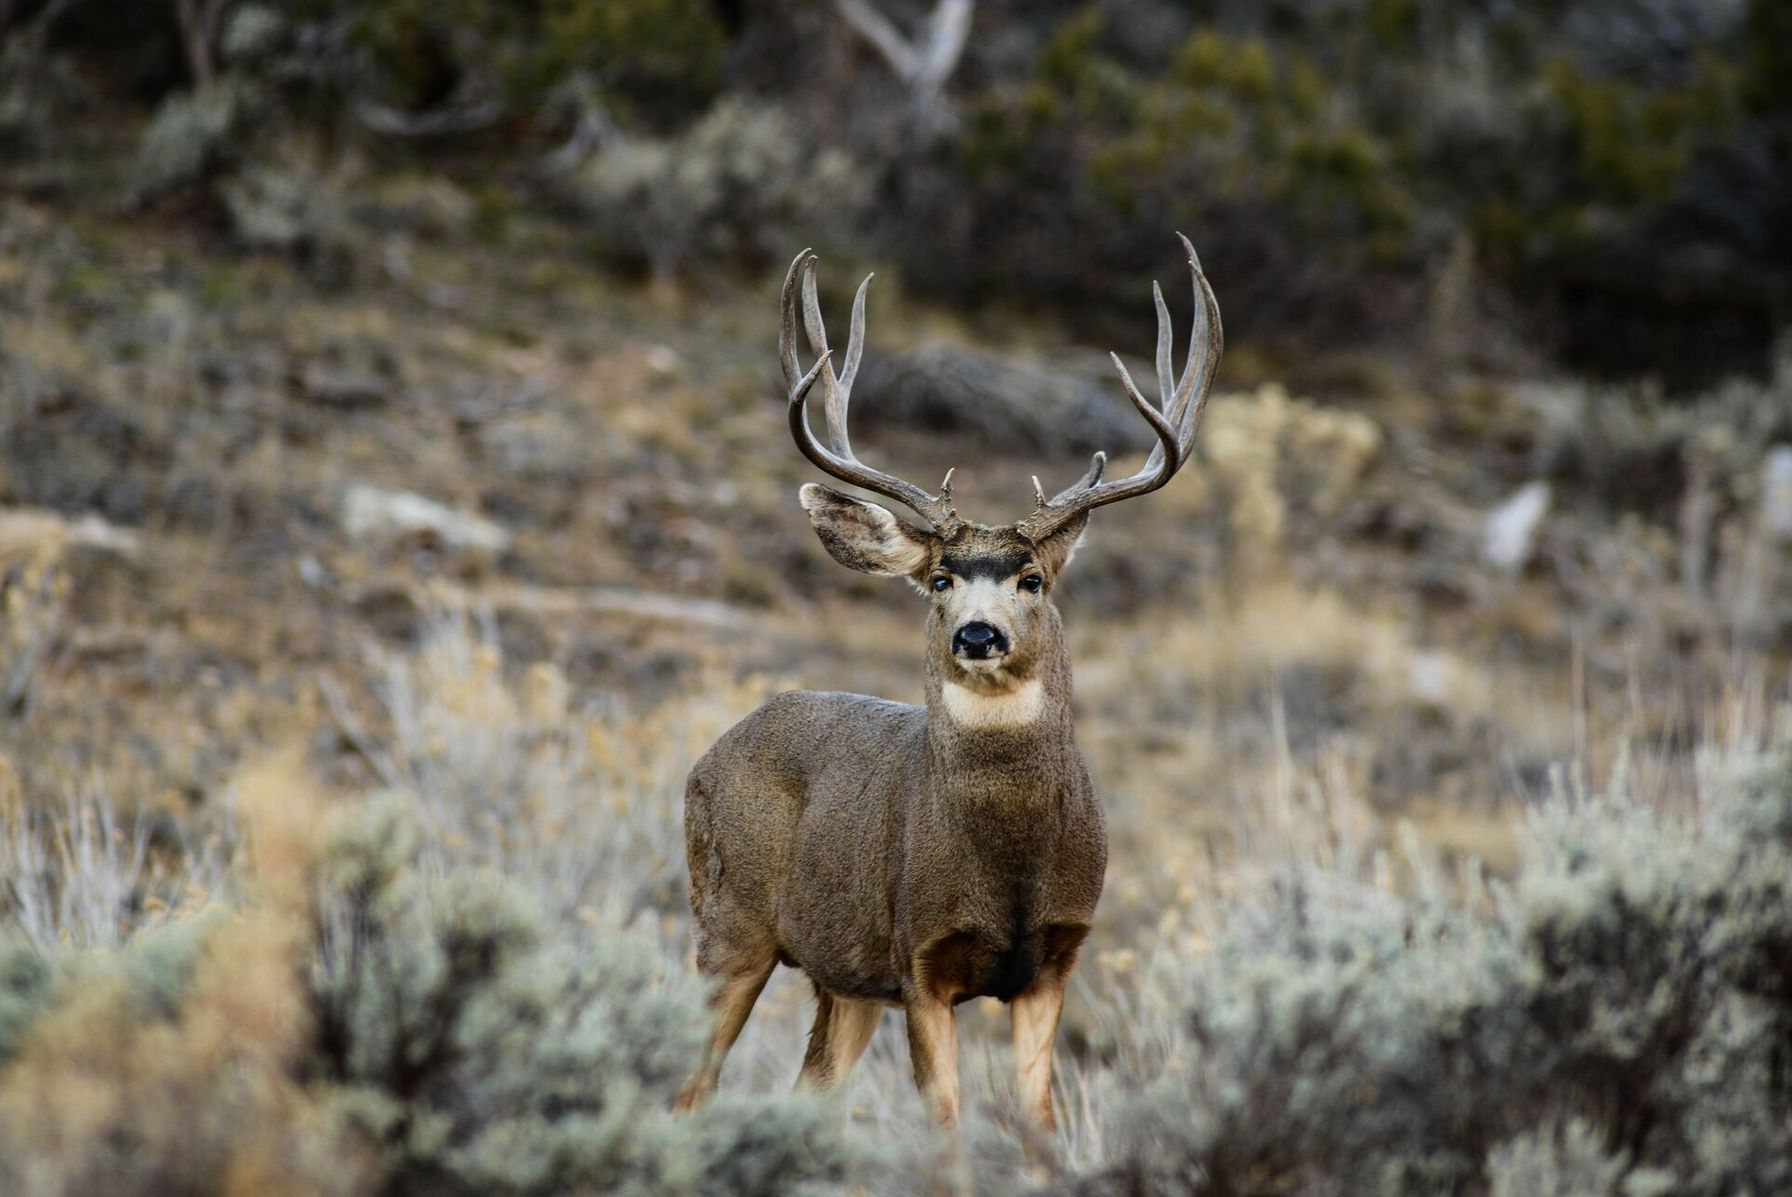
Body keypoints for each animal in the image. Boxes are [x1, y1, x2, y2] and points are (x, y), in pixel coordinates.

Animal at [676, 235, 1222, 1140]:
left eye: (1033, 577)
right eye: (939, 578)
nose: (978, 633)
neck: (1008, 859)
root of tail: (710, 754)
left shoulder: (1055, 958)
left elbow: (1038, 1123)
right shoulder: (920, 959)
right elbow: (948, 1129)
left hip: (842, 975)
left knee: (806, 1088)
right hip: (729, 920)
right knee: (689, 1086)